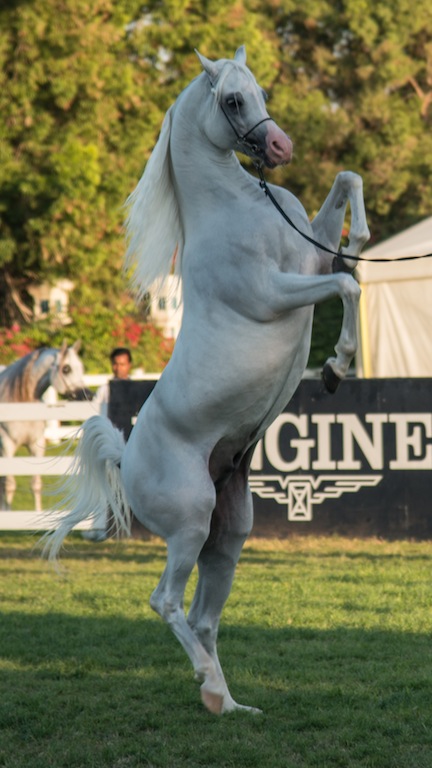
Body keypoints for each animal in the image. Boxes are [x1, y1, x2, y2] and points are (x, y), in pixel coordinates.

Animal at [0, 341, 91, 512]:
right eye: (66, 368)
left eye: (81, 367)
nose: (86, 395)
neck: (22, 400)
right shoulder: (7, 445)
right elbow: (9, 485)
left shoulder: (37, 445)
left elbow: (35, 484)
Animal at [44, 47, 370, 714]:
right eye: (232, 100)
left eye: (261, 89)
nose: (280, 146)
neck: (237, 206)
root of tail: (125, 455)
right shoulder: (276, 291)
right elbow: (346, 285)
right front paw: (335, 366)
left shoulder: (310, 255)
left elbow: (347, 189)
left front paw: (362, 236)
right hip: (191, 522)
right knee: (165, 602)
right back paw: (212, 686)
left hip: (229, 533)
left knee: (201, 617)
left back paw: (229, 702)